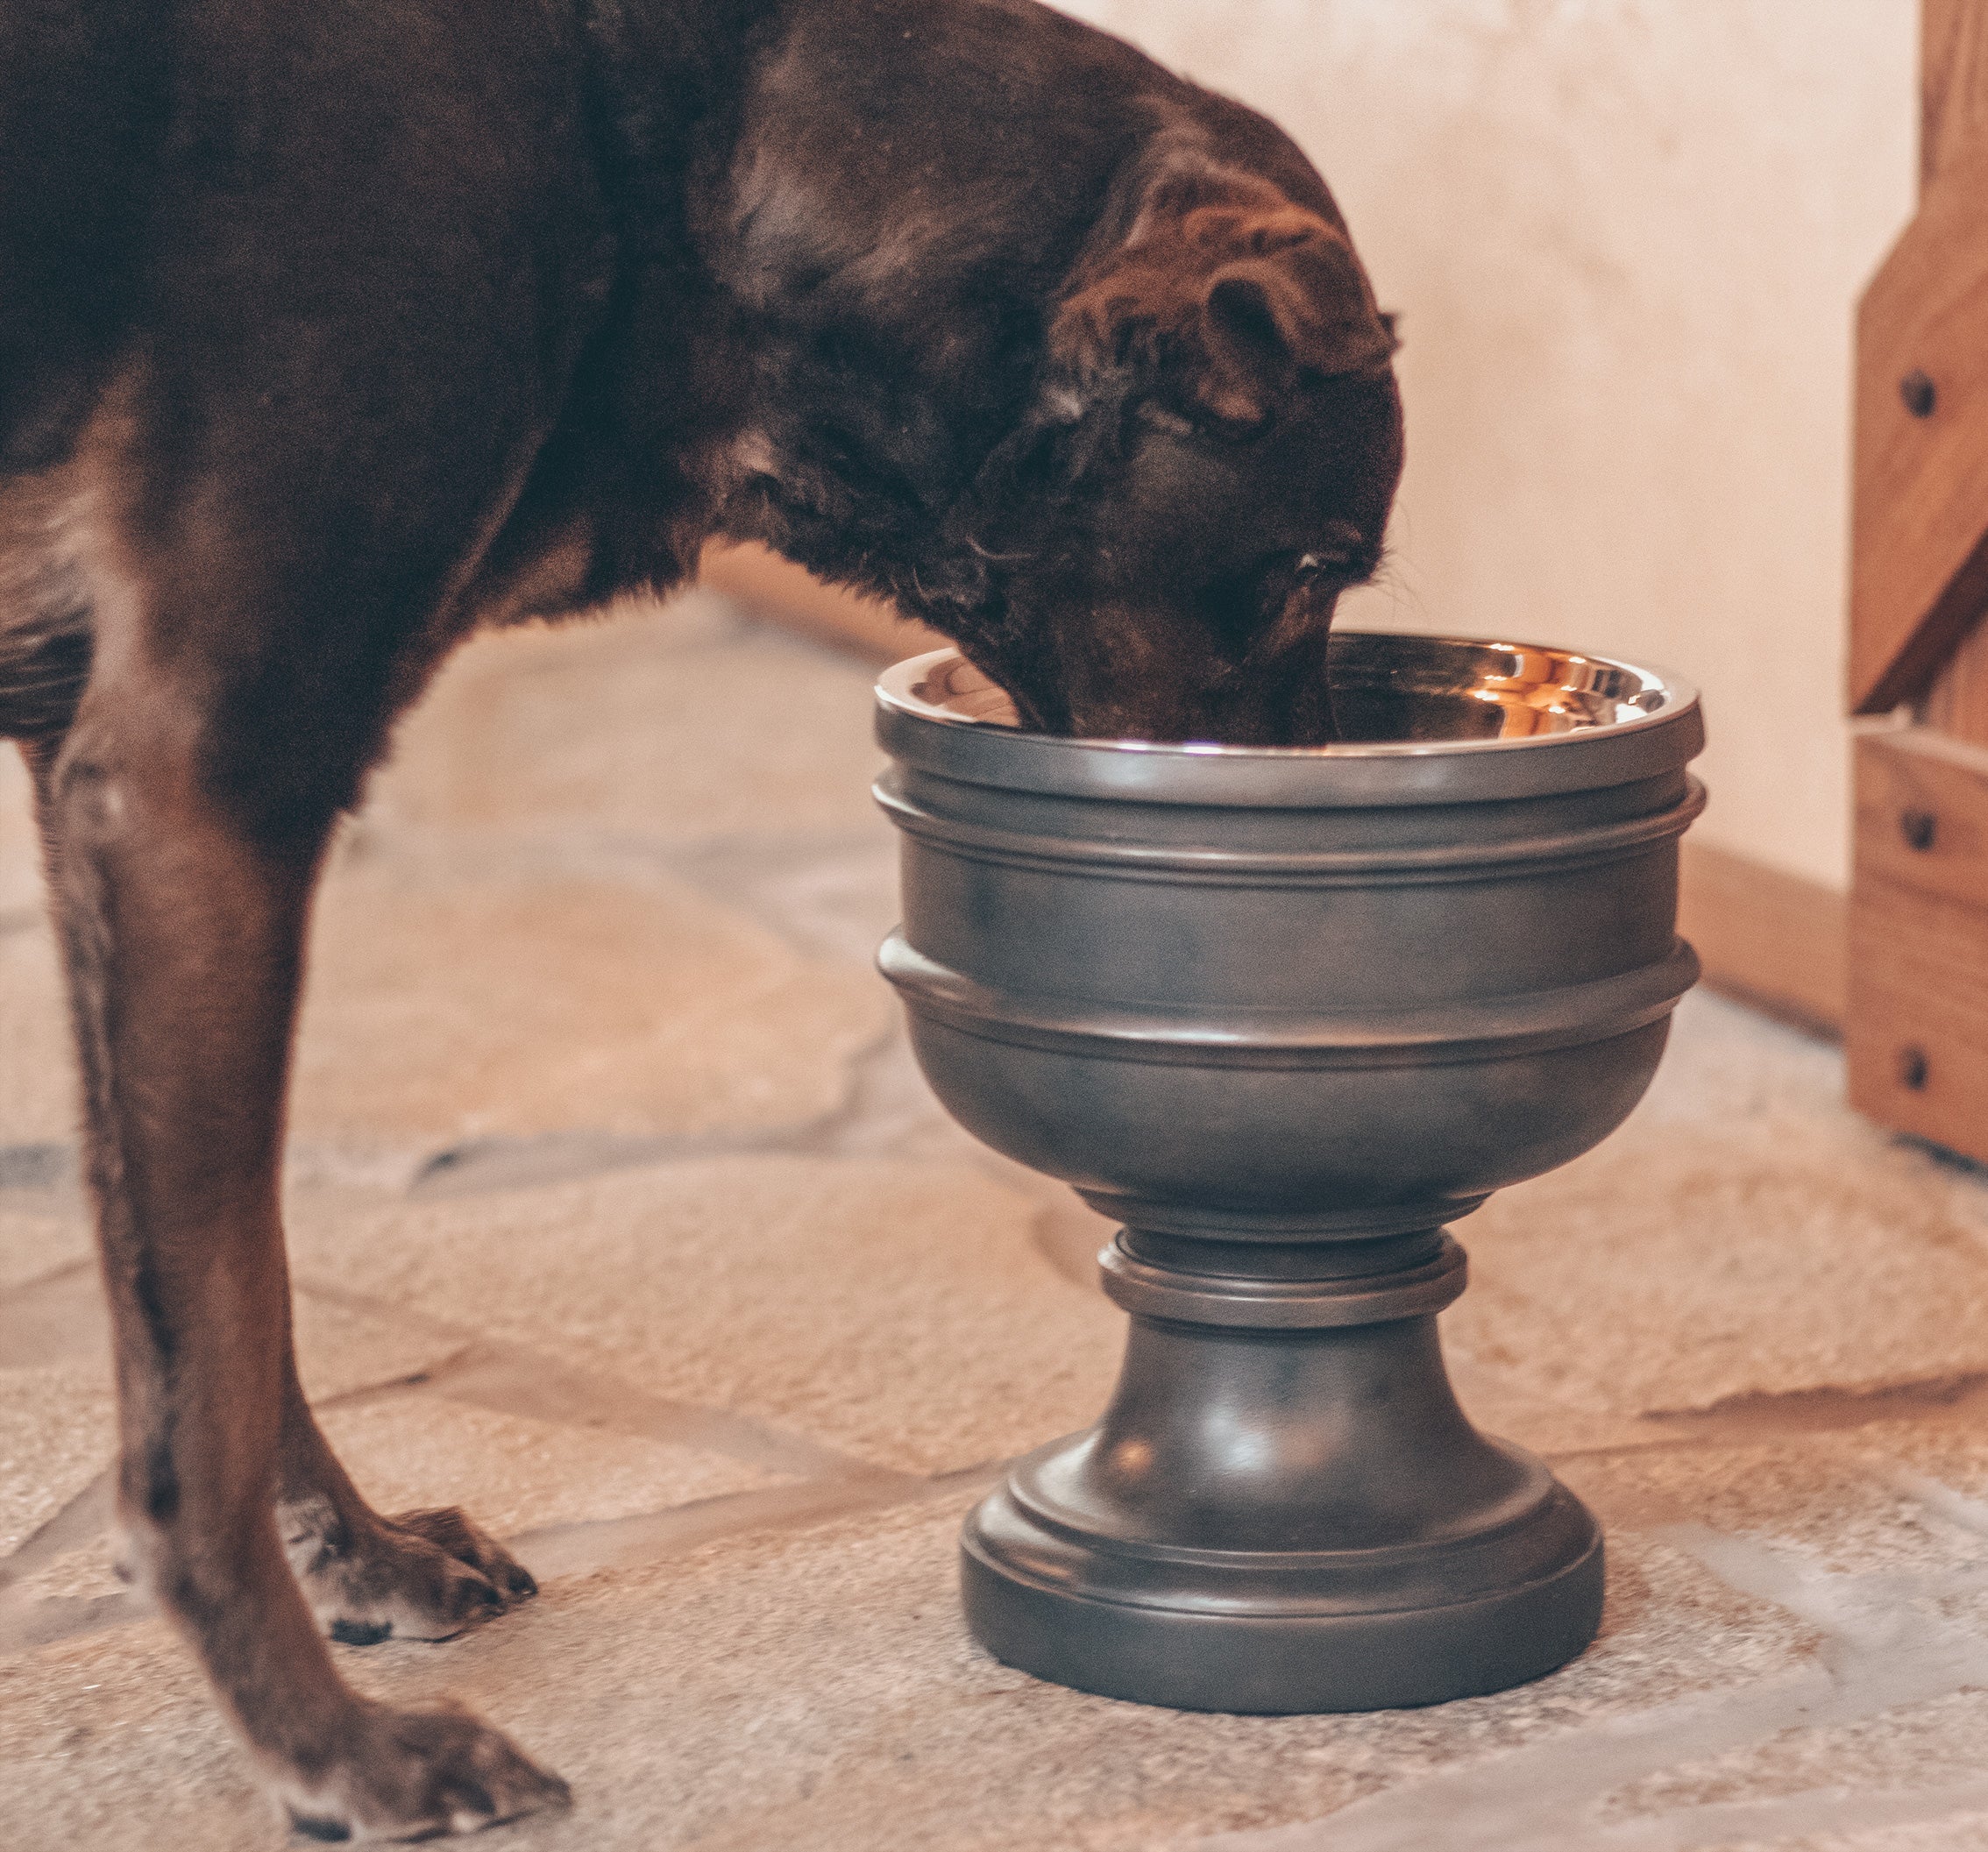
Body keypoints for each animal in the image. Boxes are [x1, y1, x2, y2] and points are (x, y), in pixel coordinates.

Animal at [0, 0, 1399, 1835]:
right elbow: (212, 1360)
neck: (668, 145)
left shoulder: (99, 774)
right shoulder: (199, 777)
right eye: (1310, 567)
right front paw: (331, 1749)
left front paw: (358, 1559)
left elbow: (237, 1287)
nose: (1301, 840)